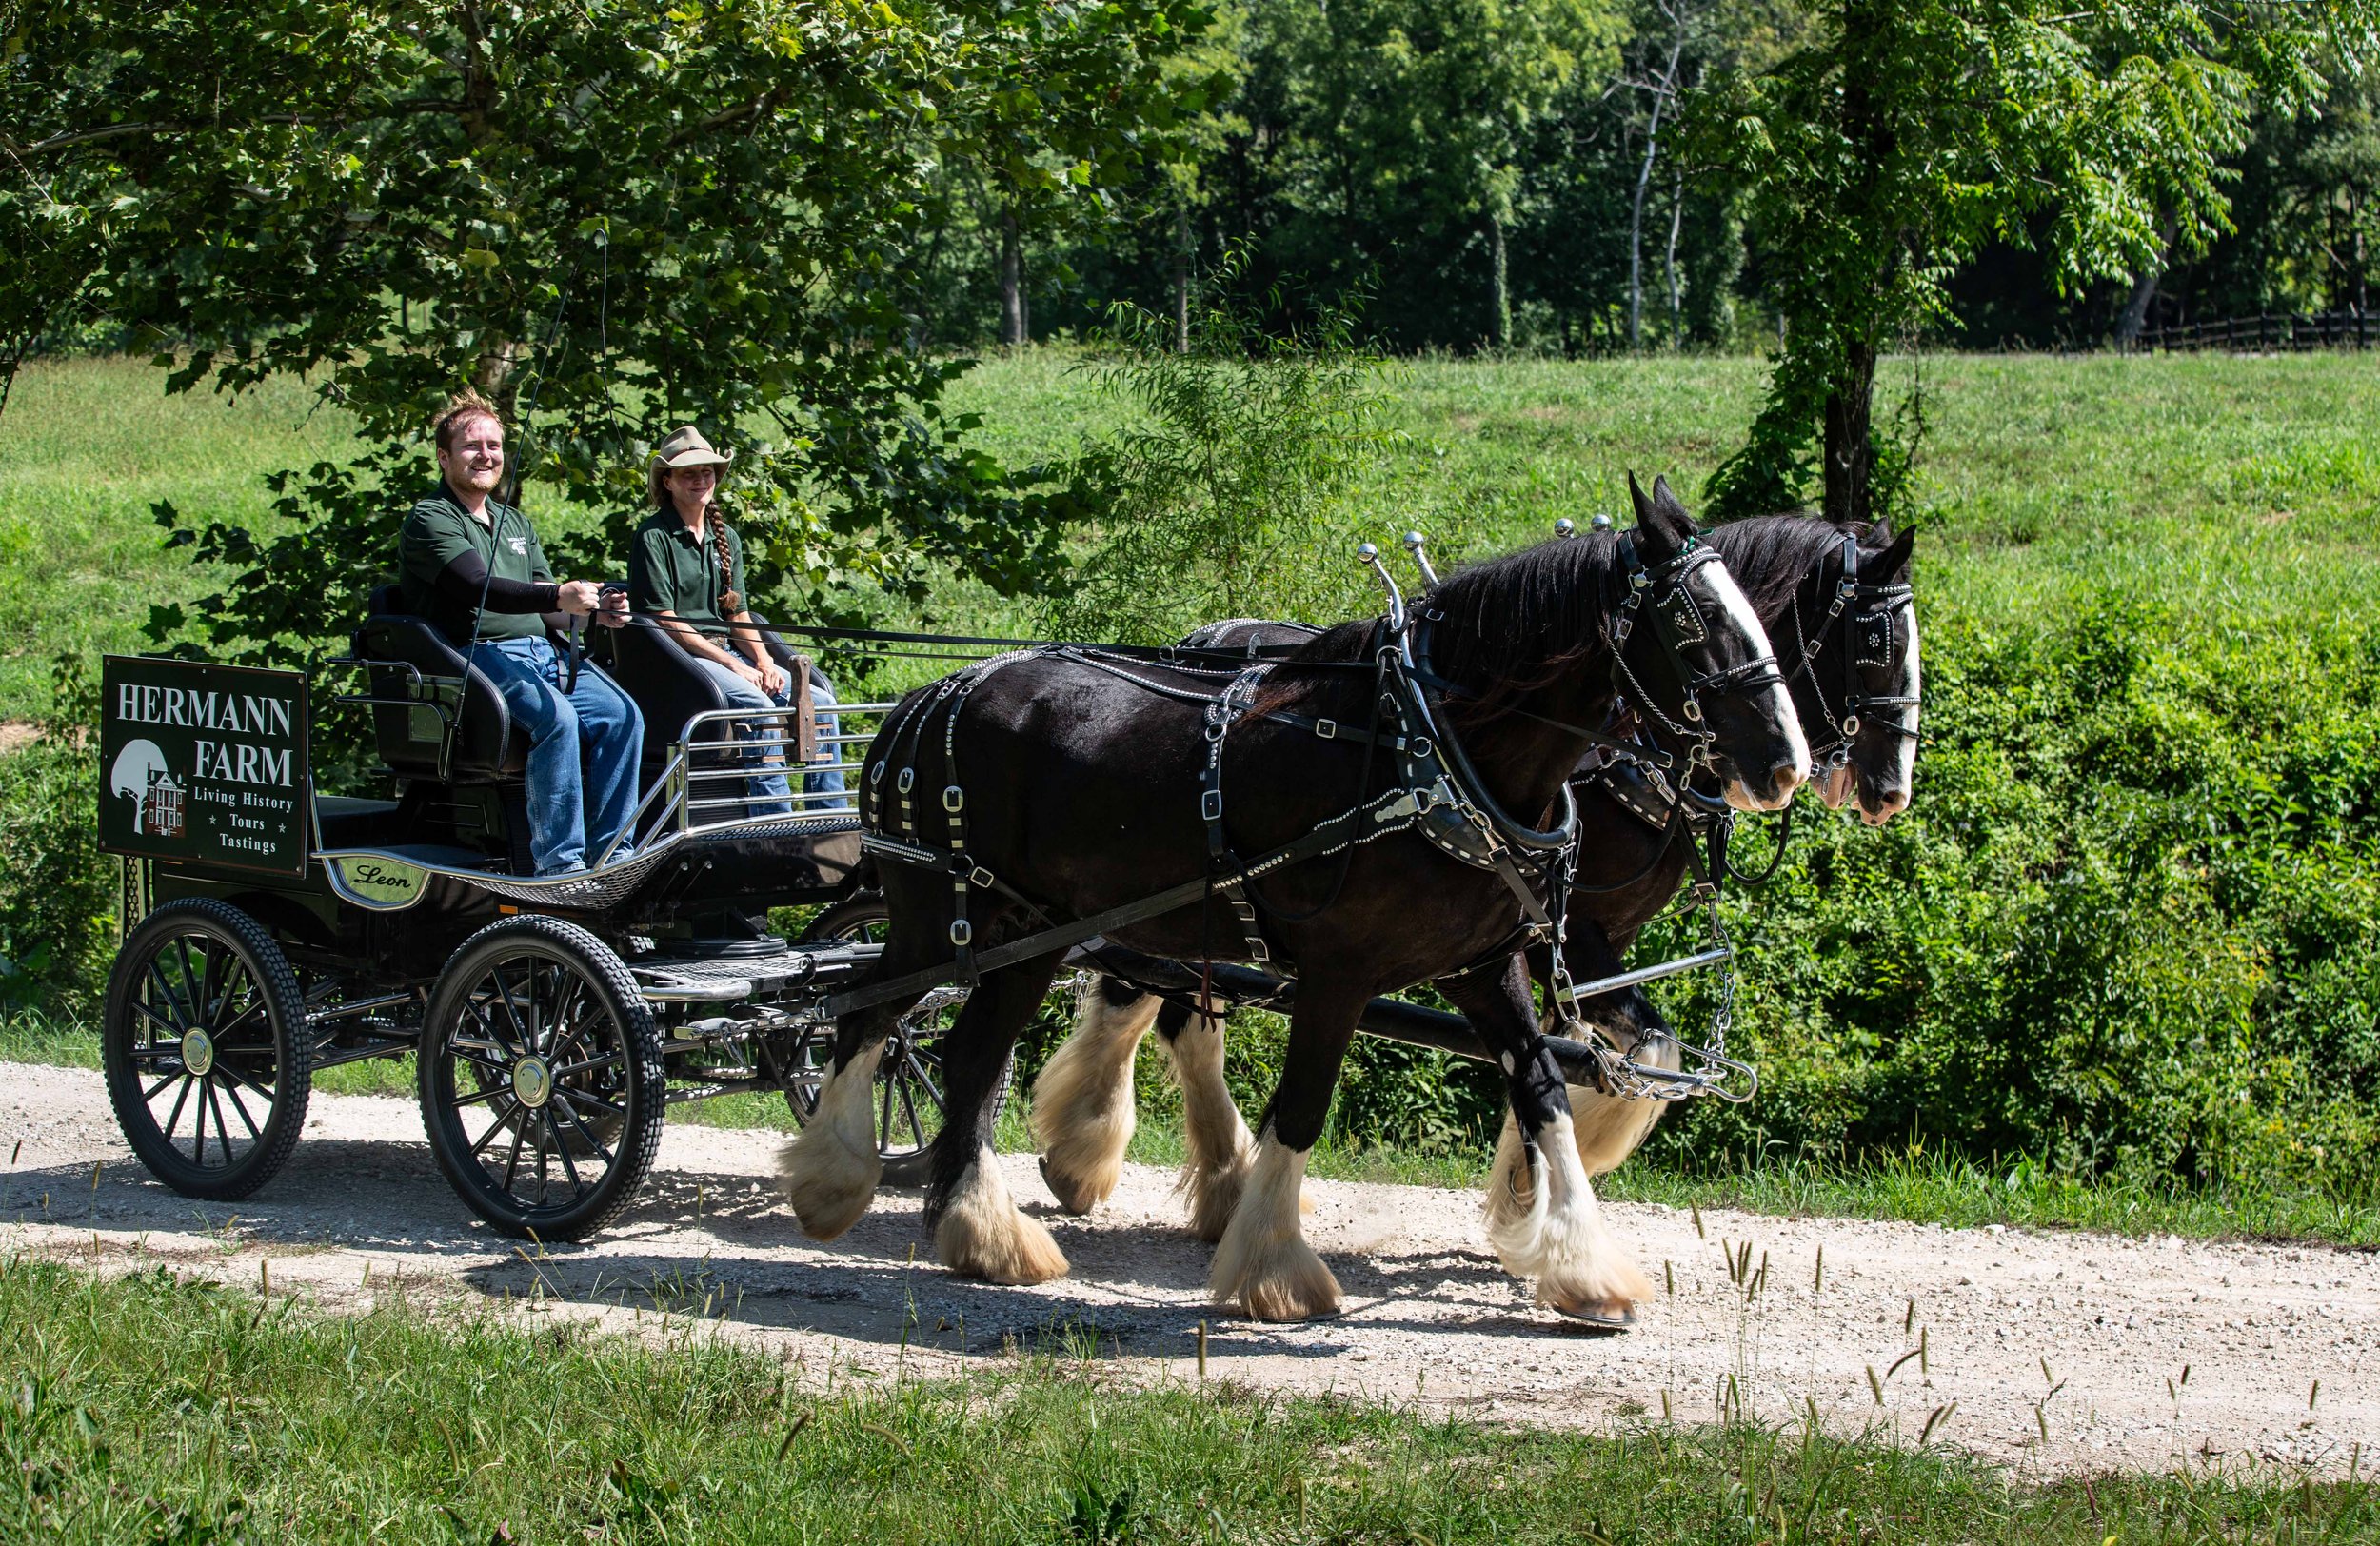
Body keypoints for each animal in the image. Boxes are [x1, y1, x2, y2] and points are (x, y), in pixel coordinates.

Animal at [781, 475, 1799, 1322]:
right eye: (1694, 629)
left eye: (1764, 620)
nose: (1785, 765)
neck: (1434, 751)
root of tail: (923, 699)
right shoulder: (1341, 971)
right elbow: (1303, 1107)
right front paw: (1275, 1272)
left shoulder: (1481, 964)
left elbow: (1544, 1088)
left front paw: (1585, 1268)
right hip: (940, 919)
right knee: (862, 1014)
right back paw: (834, 1182)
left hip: (1029, 935)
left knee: (968, 1056)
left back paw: (985, 1237)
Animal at [1038, 508, 1914, 1303]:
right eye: (1873, 642)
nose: (1887, 789)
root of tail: (1205, 638)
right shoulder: (1574, 932)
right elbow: (1643, 1048)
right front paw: (1561, 1173)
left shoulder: (1546, 940)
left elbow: (1561, 1058)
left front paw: (1533, 1200)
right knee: (1142, 996)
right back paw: (1090, 1154)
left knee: (1171, 1006)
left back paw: (1197, 1179)